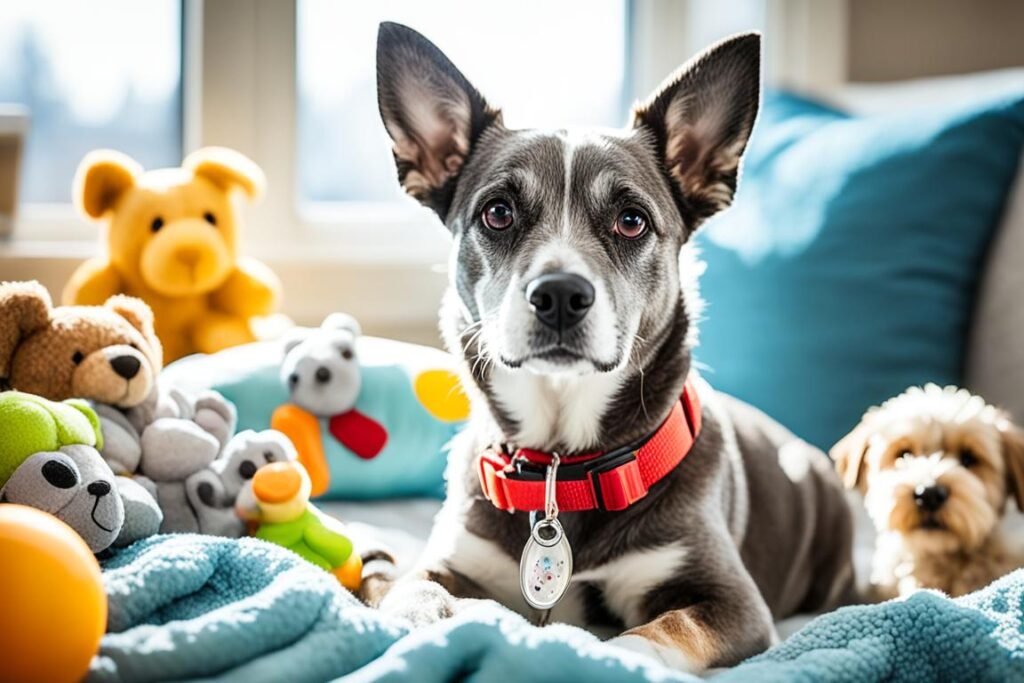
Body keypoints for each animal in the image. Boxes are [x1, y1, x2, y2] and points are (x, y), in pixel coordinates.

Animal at [368, 22, 856, 671]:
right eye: (498, 212)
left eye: (631, 220)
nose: (559, 294)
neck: (562, 466)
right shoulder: (450, 560)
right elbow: (410, 589)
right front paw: (413, 621)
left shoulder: (734, 603)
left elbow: (661, 632)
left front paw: (607, 654)